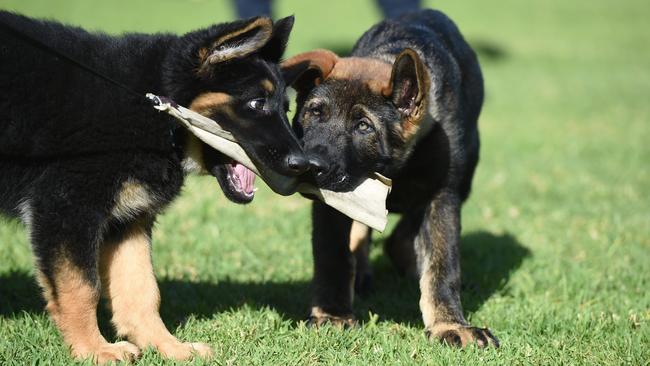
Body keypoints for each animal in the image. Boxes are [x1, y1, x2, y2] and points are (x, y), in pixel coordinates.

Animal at [0, 10, 306, 364]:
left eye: (286, 108)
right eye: (258, 103)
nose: (306, 164)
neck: (153, 108)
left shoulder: (128, 219)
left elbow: (142, 290)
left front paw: (168, 347)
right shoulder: (66, 209)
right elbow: (83, 287)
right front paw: (94, 350)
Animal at [280, 8, 498, 346]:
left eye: (363, 126)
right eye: (315, 113)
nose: (309, 166)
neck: (394, 169)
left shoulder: (443, 195)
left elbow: (442, 265)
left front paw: (449, 324)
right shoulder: (330, 205)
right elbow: (333, 257)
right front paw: (332, 315)